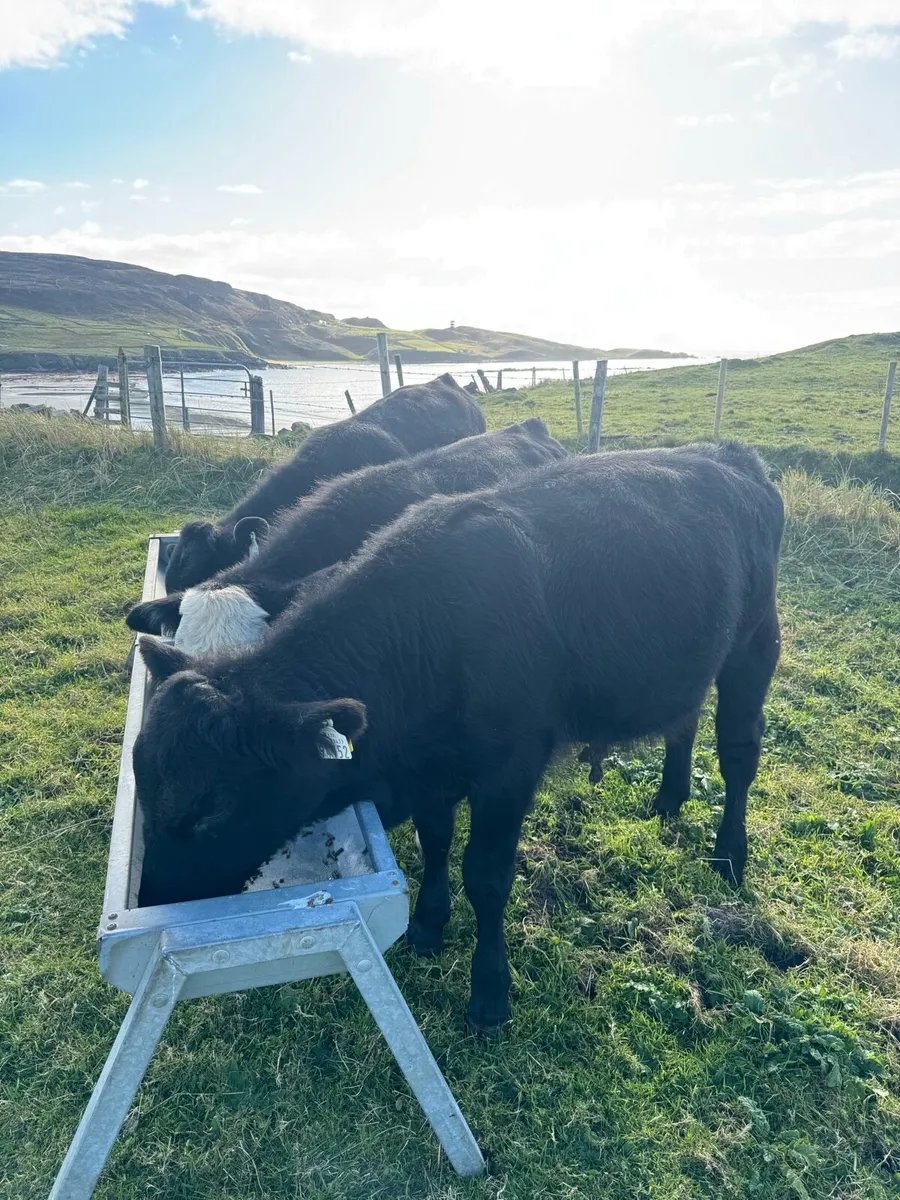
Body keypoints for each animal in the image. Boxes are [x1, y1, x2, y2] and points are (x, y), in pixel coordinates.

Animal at [133, 442, 783, 1035]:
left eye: (212, 811)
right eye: (145, 782)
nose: (150, 898)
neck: (431, 629)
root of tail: (727, 454)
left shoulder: (509, 771)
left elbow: (486, 875)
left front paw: (490, 990)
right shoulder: (431, 770)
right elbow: (437, 842)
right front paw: (428, 921)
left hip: (755, 645)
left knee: (739, 753)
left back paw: (730, 852)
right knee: (684, 719)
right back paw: (670, 798)